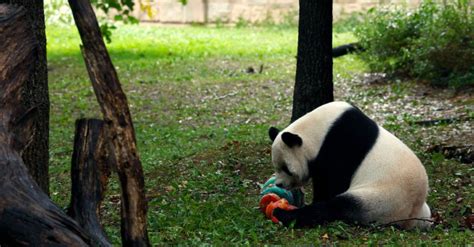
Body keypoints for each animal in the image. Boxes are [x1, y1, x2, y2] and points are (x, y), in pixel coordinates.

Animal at [268, 101, 432, 229]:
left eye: (286, 169)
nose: (279, 184)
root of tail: (411, 216)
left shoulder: (341, 146)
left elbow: (331, 183)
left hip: (382, 200)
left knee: (337, 207)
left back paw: (283, 214)